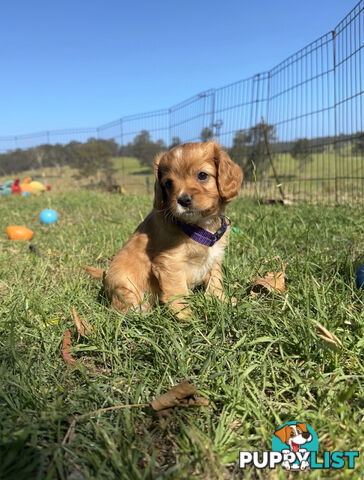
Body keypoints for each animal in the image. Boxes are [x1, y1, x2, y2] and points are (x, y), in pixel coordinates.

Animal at [84, 140, 243, 318]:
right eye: (168, 183)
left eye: (202, 175)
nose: (183, 200)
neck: (199, 226)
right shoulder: (170, 262)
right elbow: (178, 292)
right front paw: (187, 317)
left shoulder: (214, 258)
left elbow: (215, 283)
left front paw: (222, 302)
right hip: (123, 279)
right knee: (120, 306)